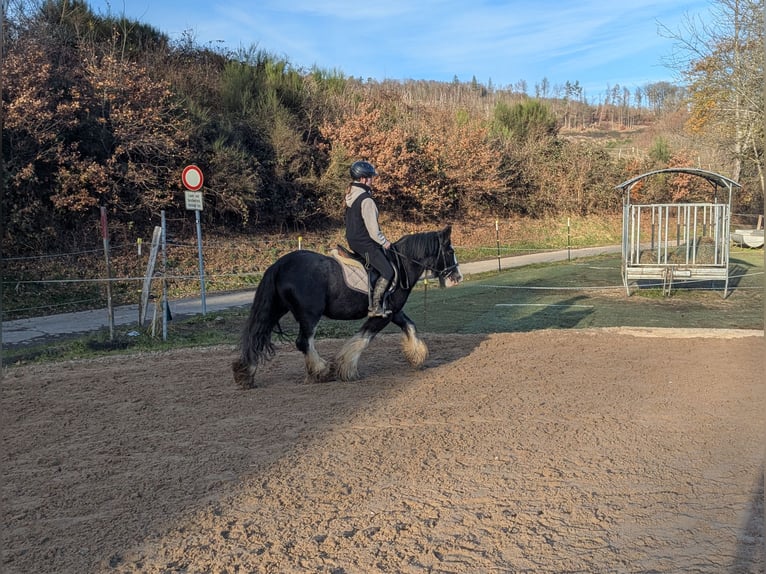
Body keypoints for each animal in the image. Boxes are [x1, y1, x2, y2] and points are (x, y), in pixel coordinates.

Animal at [232, 225, 463, 388]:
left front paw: (417, 356)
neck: (402, 265)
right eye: (449, 250)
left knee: (258, 336)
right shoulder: (382, 315)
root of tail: (279, 264)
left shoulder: (394, 311)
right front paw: (346, 368)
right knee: (303, 342)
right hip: (309, 315)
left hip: (276, 309)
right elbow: (363, 338)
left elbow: (410, 326)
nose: (458, 277)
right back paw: (321, 371)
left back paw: (245, 373)